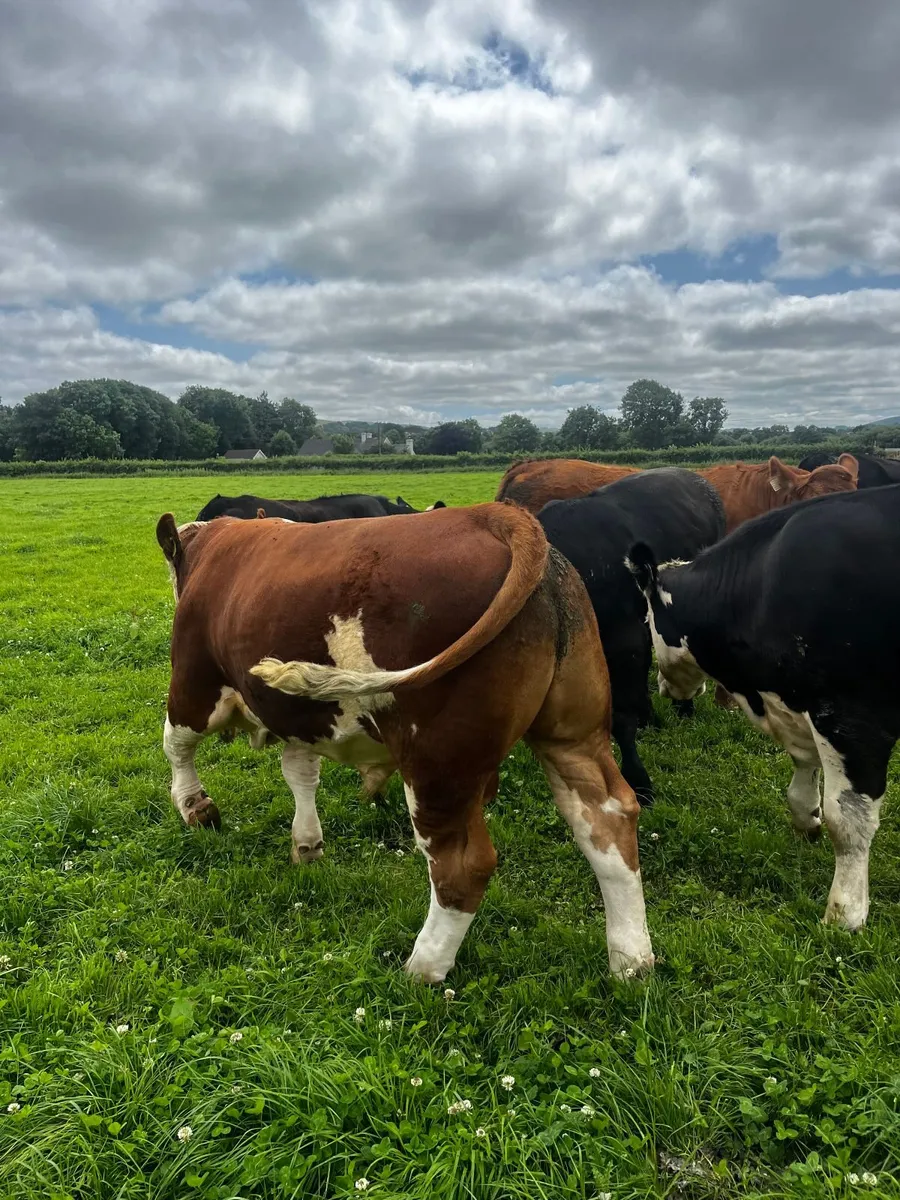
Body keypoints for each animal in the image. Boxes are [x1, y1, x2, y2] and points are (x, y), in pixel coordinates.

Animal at [156, 504, 654, 982]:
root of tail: (497, 517)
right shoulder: (303, 717)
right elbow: (300, 772)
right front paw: (307, 844)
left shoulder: (193, 684)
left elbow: (175, 744)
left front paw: (194, 806)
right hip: (574, 736)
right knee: (607, 818)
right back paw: (632, 960)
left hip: (438, 759)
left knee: (462, 864)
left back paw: (423, 967)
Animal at [628, 483, 900, 932]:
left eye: (648, 619)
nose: (663, 687)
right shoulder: (799, 706)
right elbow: (801, 777)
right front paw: (807, 819)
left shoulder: (852, 718)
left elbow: (848, 819)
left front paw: (845, 912)